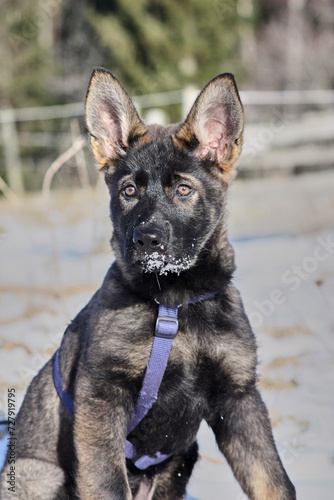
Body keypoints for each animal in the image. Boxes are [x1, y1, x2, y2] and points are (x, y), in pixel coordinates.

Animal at [0, 68, 294, 498]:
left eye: (183, 189)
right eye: (129, 191)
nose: (146, 240)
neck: (175, 298)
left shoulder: (239, 397)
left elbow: (273, 479)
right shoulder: (103, 395)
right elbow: (106, 483)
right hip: (38, 473)